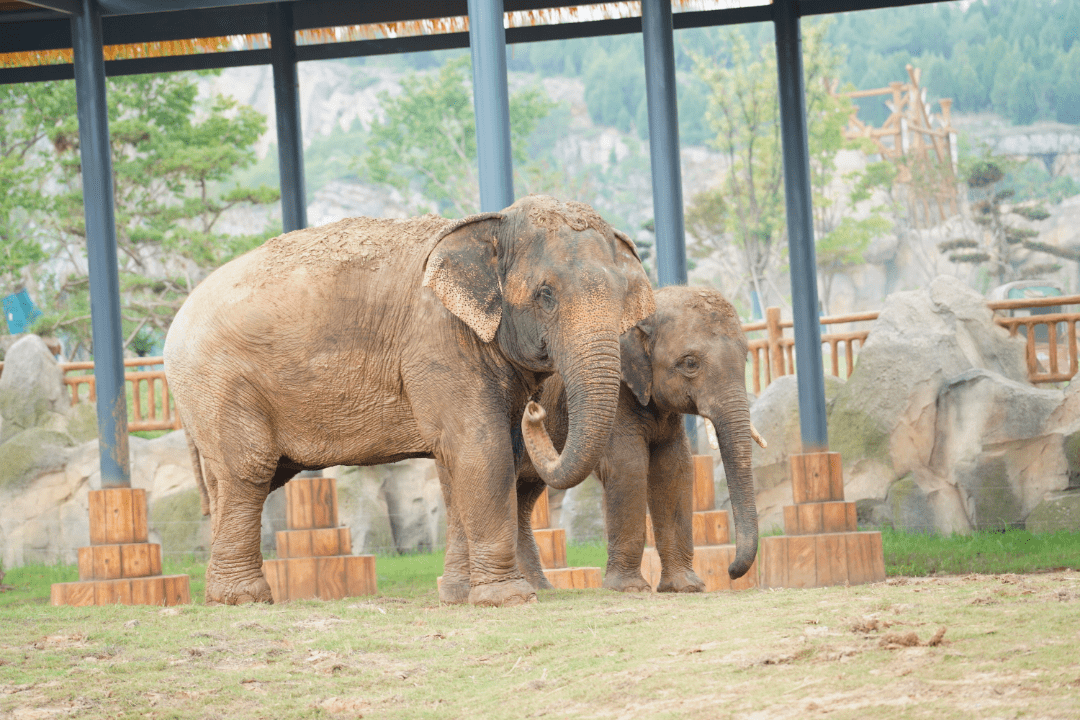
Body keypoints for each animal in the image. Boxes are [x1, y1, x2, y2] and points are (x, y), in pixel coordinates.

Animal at [164, 194, 652, 604]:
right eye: (545, 295)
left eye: (620, 296)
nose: (536, 409)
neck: (493, 223)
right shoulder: (437, 340)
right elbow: (480, 445)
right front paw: (507, 599)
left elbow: (463, 460)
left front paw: (458, 597)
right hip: (219, 384)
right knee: (248, 471)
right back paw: (244, 599)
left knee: (235, 480)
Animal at [505, 287, 760, 595]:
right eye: (690, 363)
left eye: (745, 359)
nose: (731, 571)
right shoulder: (617, 392)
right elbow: (628, 465)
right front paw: (630, 589)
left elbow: (674, 468)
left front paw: (685, 587)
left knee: (523, 494)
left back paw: (541, 589)